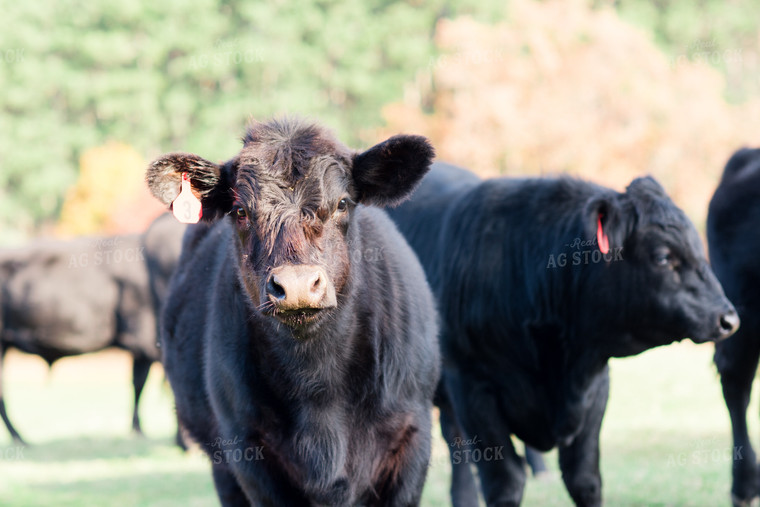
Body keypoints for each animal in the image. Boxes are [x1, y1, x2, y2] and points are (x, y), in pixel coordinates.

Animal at [386, 163, 736, 507]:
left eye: (698, 248)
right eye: (663, 257)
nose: (728, 318)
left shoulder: (596, 387)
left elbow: (584, 479)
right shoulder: (472, 387)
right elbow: (505, 482)